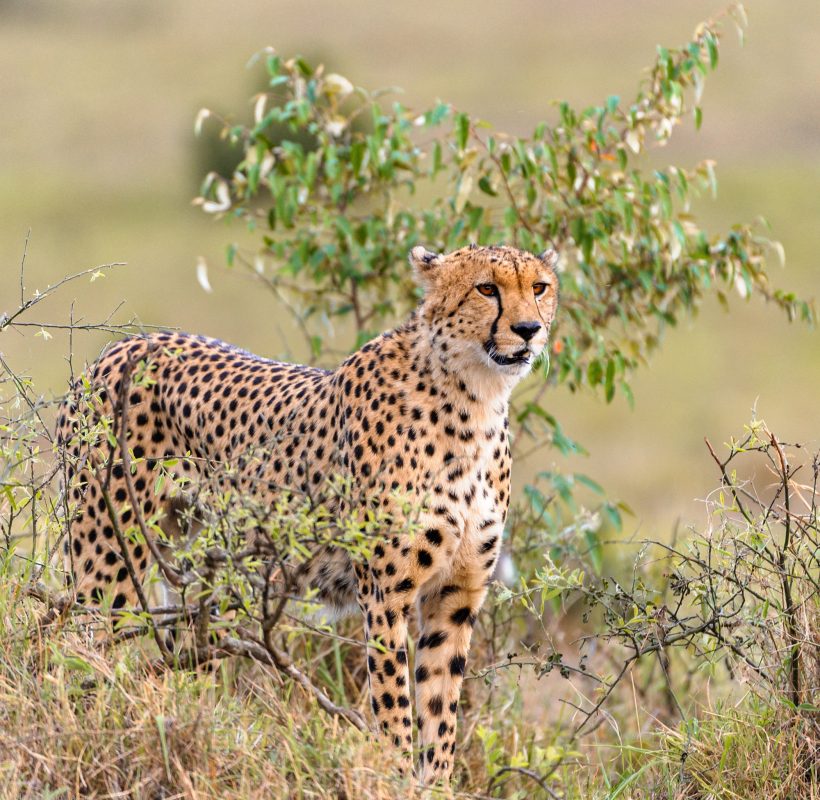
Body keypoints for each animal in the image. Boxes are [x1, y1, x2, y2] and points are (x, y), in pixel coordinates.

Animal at [56, 242, 556, 780]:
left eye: (539, 287)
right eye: (486, 288)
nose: (529, 329)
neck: (475, 398)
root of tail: (125, 345)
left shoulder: (456, 594)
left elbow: (440, 708)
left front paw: (435, 783)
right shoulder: (386, 595)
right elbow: (394, 700)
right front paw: (397, 776)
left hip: (192, 566)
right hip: (109, 554)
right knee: (71, 644)